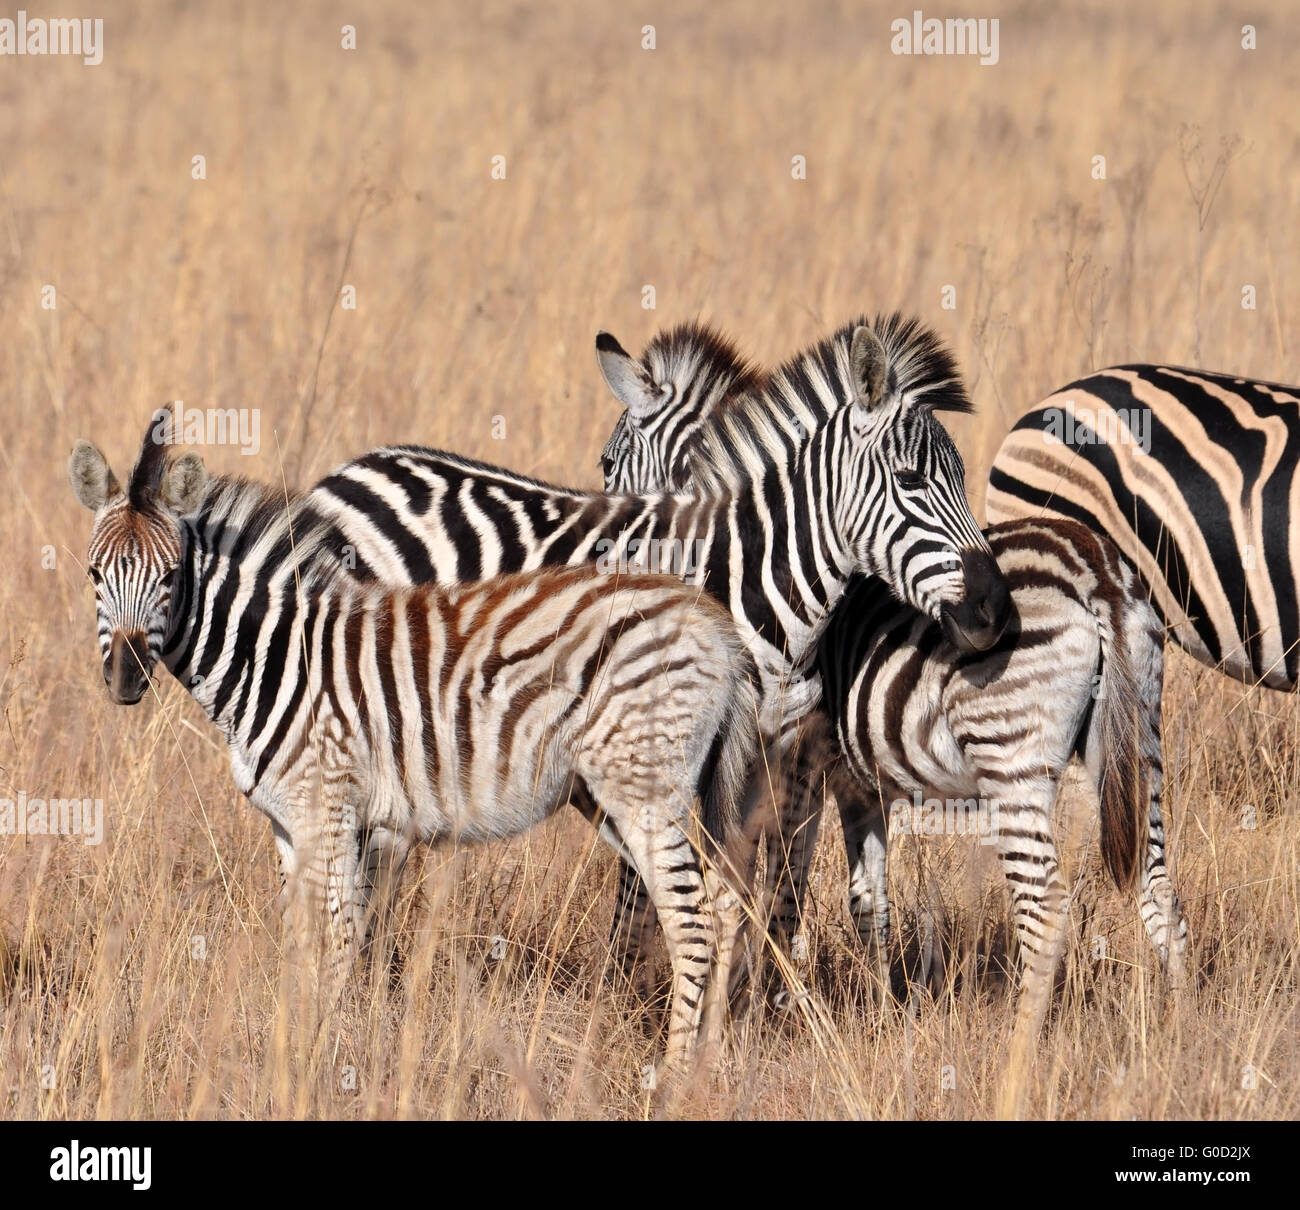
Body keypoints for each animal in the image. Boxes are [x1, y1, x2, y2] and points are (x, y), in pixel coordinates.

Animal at [67, 412, 762, 1072]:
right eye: (94, 574)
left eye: (170, 577)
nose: (126, 678)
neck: (277, 656)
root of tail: (711, 619)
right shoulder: (289, 823)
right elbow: (298, 940)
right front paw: (287, 1048)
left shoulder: (331, 811)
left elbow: (339, 938)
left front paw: (323, 1058)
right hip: (627, 792)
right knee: (726, 902)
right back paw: (712, 1062)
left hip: (644, 789)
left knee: (692, 921)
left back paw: (673, 1077)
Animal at [595, 319, 1189, 994]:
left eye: (608, 464)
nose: (606, 570)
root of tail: (1098, 573)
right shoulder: (861, 783)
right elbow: (867, 901)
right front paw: (882, 1001)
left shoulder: (800, 763)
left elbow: (781, 886)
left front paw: (766, 990)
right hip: (1138, 743)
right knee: (1159, 893)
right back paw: (1176, 1016)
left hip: (1014, 755)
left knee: (1044, 906)